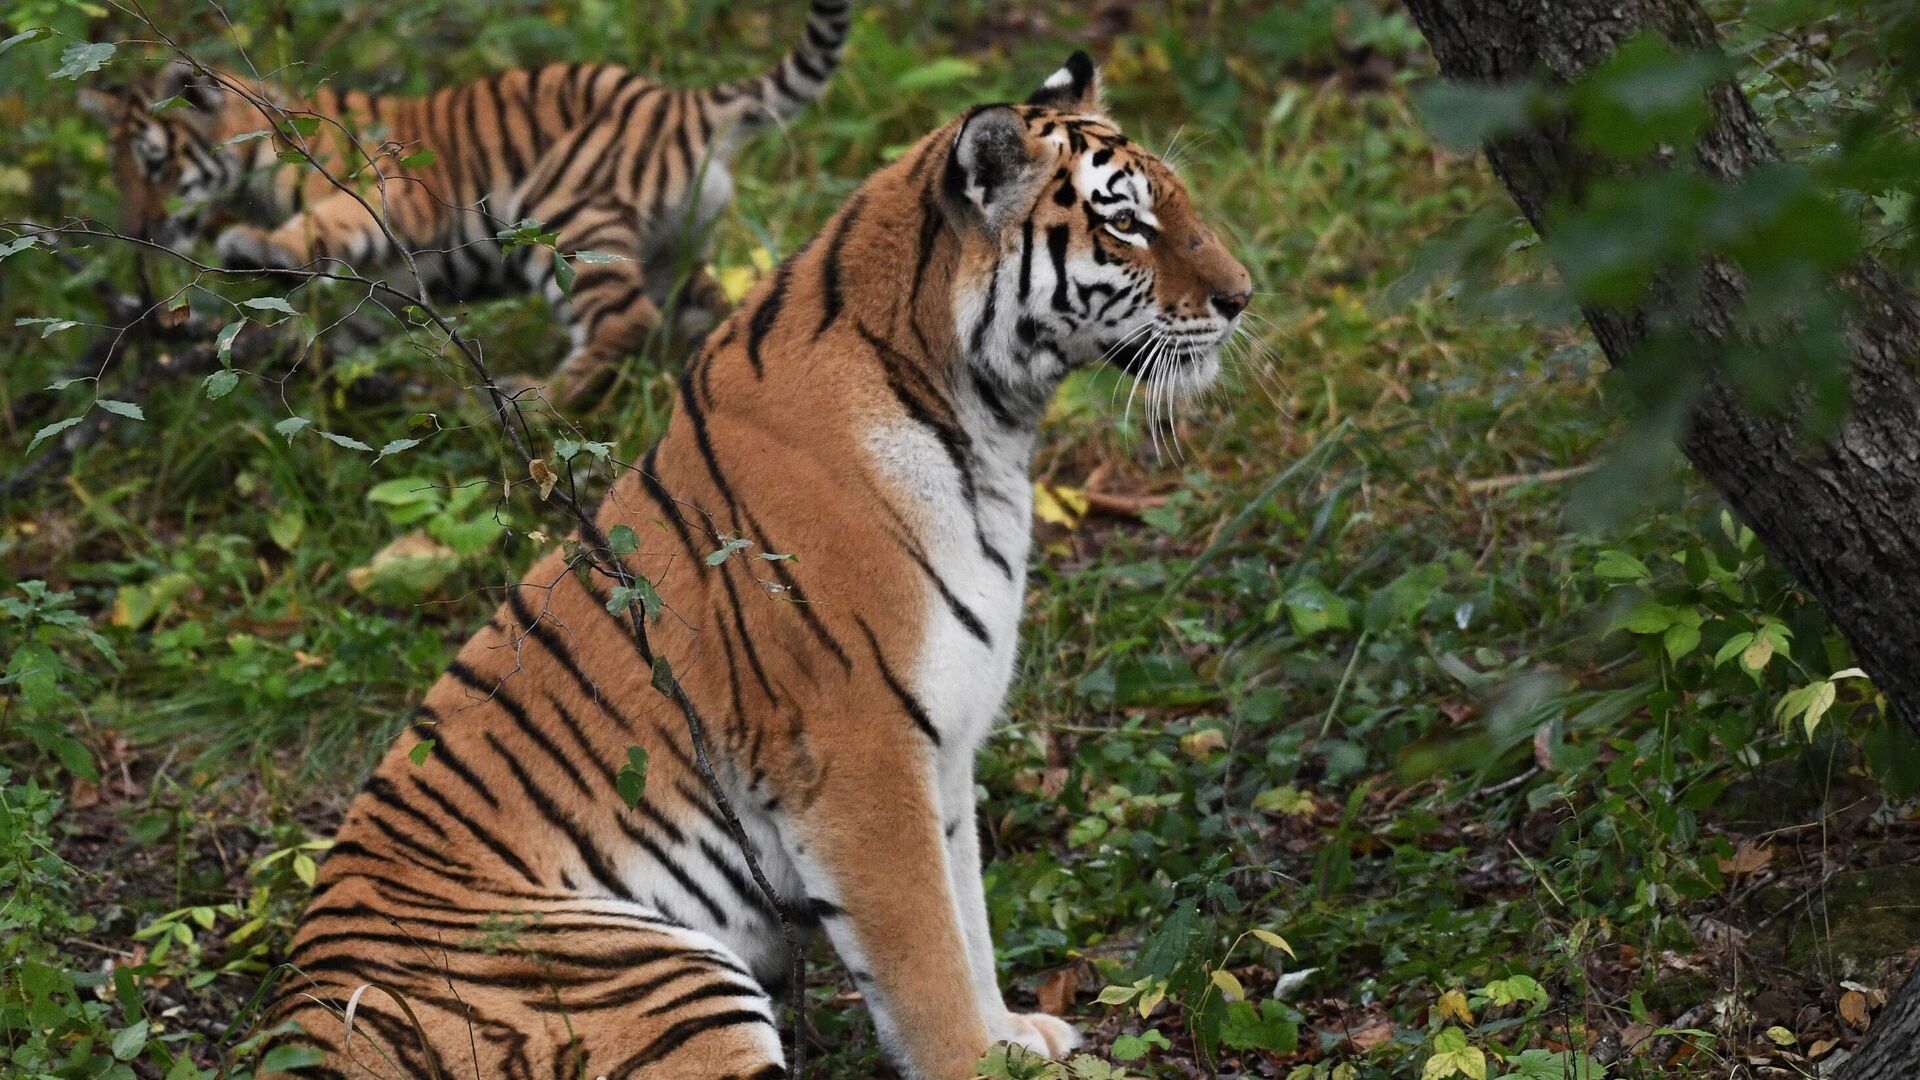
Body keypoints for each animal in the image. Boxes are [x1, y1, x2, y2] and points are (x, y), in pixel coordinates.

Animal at [80, 1, 848, 403]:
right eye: (118, 172)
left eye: (154, 165)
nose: (139, 227)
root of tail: (680, 101)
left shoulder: (380, 197)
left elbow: (317, 228)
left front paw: (255, 249)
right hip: (671, 247)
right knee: (696, 309)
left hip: (562, 219)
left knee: (624, 326)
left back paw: (527, 402)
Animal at [266, 50, 1259, 1076]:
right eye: (1127, 222)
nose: (1243, 297)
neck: (988, 425)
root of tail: (302, 1020)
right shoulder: (858, 750)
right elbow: (928, 957)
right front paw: (974, 1059)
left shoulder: (944, 743)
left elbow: (970, 918)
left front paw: (1013, 1038)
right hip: (667, 976)